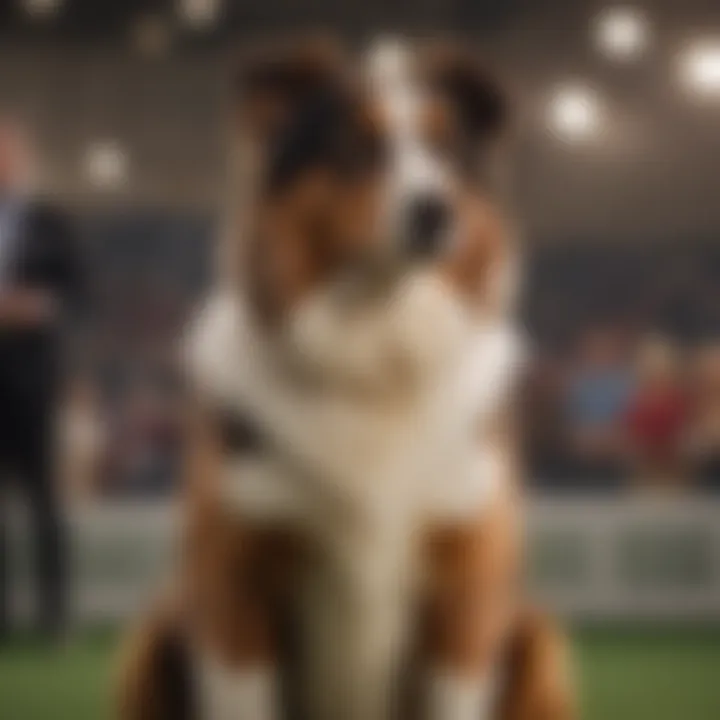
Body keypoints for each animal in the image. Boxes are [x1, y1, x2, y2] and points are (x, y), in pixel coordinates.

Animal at [115, 36, 572, 720]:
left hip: (533, 634)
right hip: (159, 628)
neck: (375, 360)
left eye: (446, 152)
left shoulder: (466, 597)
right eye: (357, 149)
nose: (436, 210)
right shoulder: (233, 592)